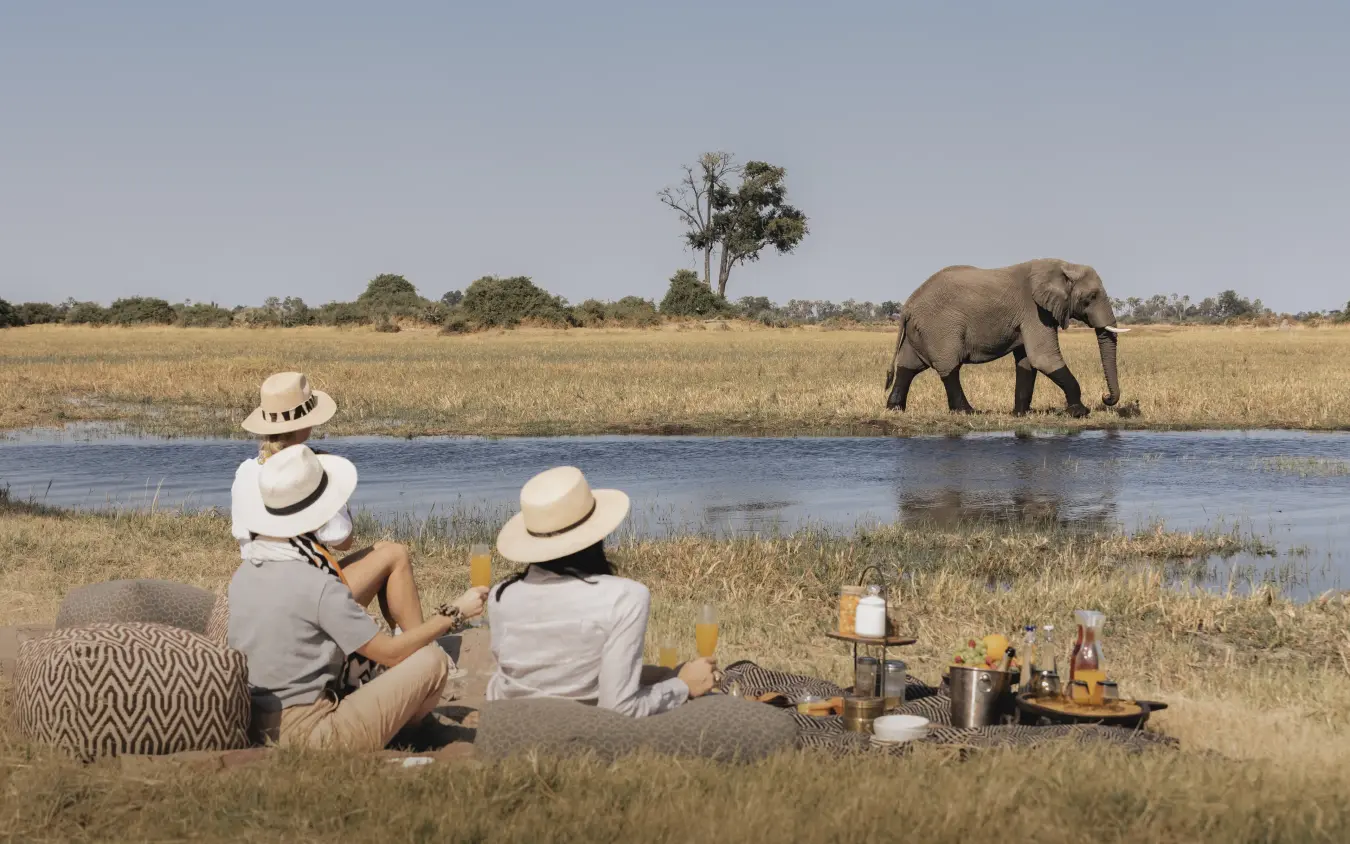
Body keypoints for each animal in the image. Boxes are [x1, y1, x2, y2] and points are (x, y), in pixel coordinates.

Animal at [884, 259, 1128, 417]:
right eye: (1091, 297)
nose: (1105, 397)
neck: (1063, 266)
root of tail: (908, 305)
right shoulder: (1034, 311)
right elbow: (1043, 358)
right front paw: (1080, 412)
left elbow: (1027, 362)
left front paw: (1021, 414)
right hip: (940, 327)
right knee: (949, 367)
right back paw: (968, 412)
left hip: (920, 330)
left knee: (908, 366)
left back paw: (894, 409)